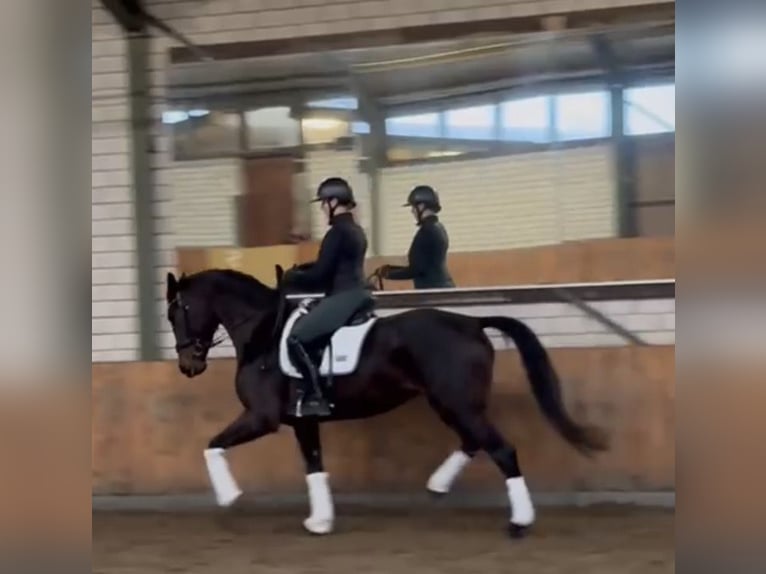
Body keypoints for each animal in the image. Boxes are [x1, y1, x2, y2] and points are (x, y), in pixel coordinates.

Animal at [165, 267, 608, 538]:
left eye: (177, 310)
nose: (189, 365)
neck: (264, 334)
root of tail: (471, 323)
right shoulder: (303, 420)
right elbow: (314, 466)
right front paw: (320, 520)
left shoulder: (262, 417)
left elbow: (211, 446)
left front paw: (229, 497)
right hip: (454, 404)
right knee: (474, 442)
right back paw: (437, 485)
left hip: (455, 403)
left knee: (501, 449)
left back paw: (519, 522)